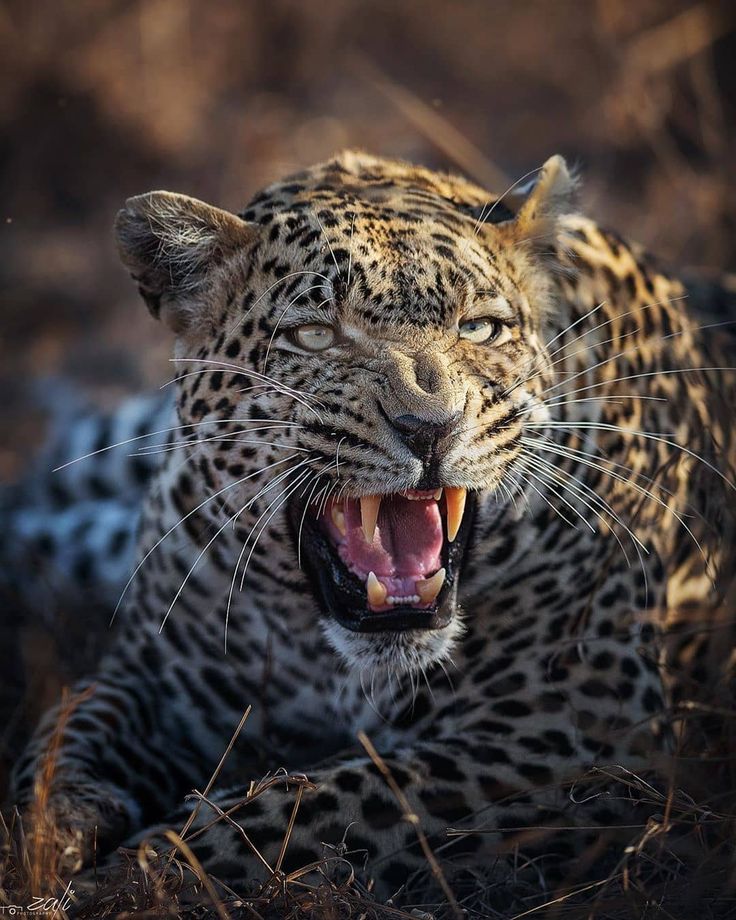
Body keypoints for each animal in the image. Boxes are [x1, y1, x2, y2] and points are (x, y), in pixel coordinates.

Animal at [7, 149, 736, 904]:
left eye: (479, 329)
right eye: (315, 335)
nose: (430, 426)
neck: (334, 659)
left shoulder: (575, 733)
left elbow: (306, 805)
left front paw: (131, 877)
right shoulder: (153, 678)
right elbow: (65, 730)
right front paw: (55, 829)